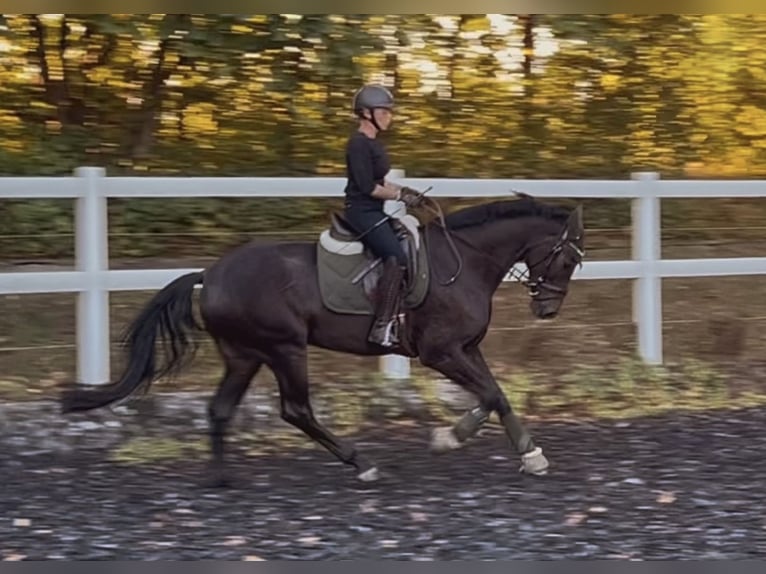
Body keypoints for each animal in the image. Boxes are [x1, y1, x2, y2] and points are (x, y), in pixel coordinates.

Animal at [60, 192, 585, 486]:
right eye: (567, 258)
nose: (548, 309)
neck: (465, 261)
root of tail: (209, 276)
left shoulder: (465, 349)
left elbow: (495, 393)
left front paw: (508, 450)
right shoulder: (440, 352)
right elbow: (491, 394)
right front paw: (463, 441)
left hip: (245, 355)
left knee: (221, 409)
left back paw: (222, 479)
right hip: (284, 349)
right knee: (296, 410)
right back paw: (362, 464)